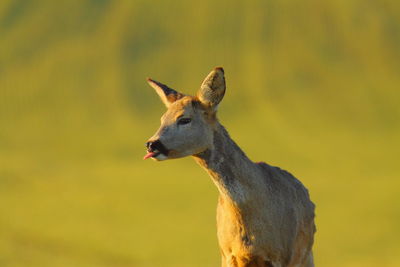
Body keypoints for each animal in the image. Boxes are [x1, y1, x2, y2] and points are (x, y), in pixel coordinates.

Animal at [143, 67, 316, 267]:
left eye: (184, 119)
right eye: (162, 118)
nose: (152, 144)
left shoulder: (282, 254)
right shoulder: (226, 254)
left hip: (305, 254)